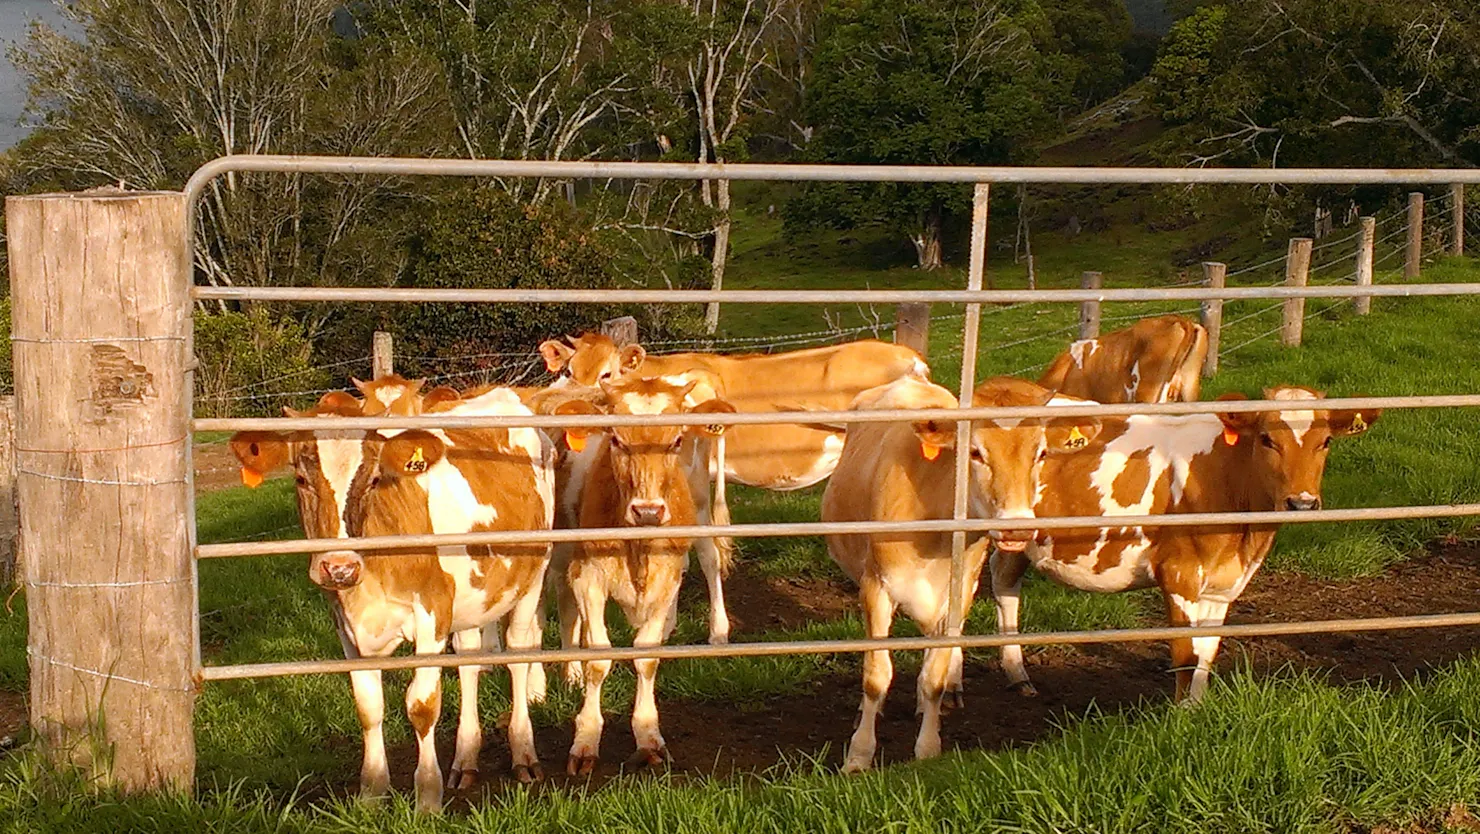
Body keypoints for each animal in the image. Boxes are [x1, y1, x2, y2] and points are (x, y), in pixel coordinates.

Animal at [230, 381, 556, 810]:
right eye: (300, 479)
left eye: (373, 479)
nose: (339, 567)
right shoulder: (346, 623)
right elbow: (368, 705)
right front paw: (371, 791)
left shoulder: (432, 613)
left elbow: (422, 704)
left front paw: (427, 797)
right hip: (472, 597)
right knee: (470, 660)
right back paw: (466, 759)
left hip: (532, 575)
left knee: (519, 653)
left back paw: (523, 754)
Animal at [550, 378, 734, 774]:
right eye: (616, 439)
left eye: (677, 439)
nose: (648, 510)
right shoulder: (588, 577)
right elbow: (598, 658)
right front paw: (585, 740)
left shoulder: (667, 579)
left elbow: (647, 656)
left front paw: (648, 736)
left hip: (700, 506)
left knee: (709, 558)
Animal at [822, 374, 1101, 774]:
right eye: (975, 452)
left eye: (1041, 453)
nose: (1017, 528)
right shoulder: (876, 587)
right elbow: (876, 674)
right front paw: (858, 757)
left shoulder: (958, 593)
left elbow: (935, 676)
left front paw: (927, 749)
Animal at [994, 387, 1373, 700]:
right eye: (1267, 439)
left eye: (1326, 441)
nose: (1302, 503)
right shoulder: (1179, 573)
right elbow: (1184, 652)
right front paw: (1181, 717)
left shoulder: (1223, 585)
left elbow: (1205, 652)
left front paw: (1198, 707)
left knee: (1005, 582)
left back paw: (1017, 675)